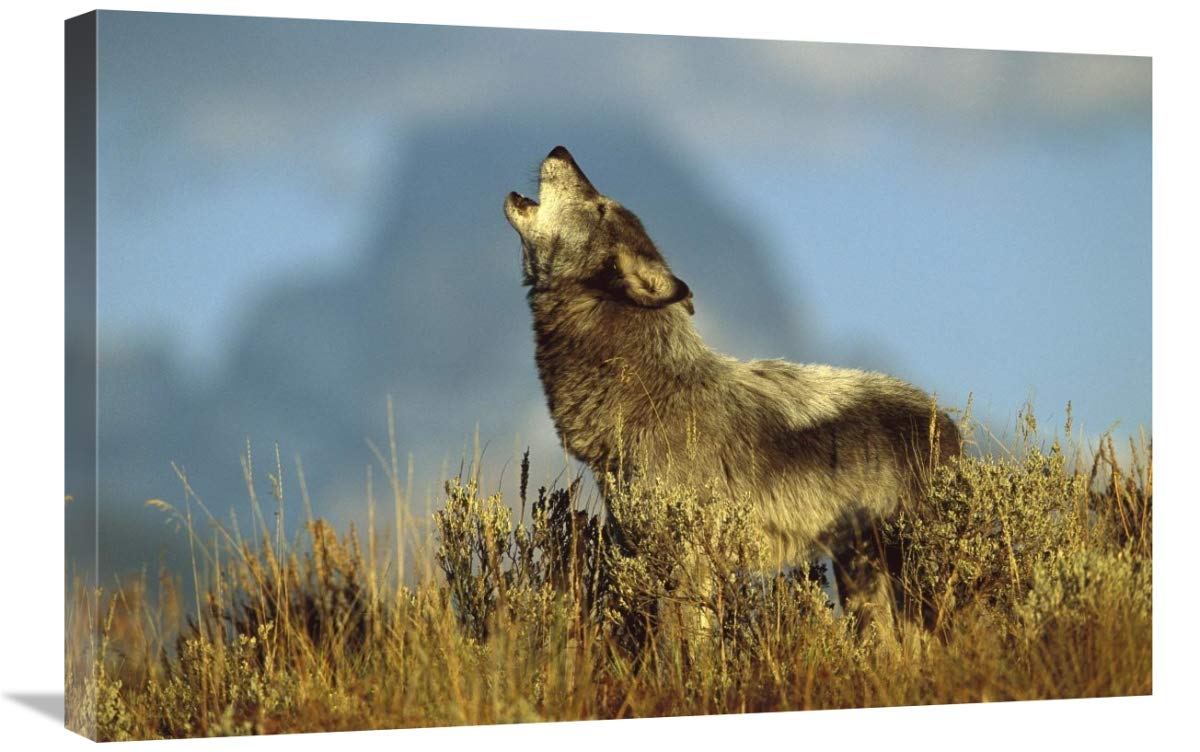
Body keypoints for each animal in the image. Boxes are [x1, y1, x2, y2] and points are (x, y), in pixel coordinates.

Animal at [504, 145, 959, 628]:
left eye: (600, 206)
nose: (560, 150)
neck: (649, 390)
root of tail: (948, 424)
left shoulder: (687, 562)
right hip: (861, 579)